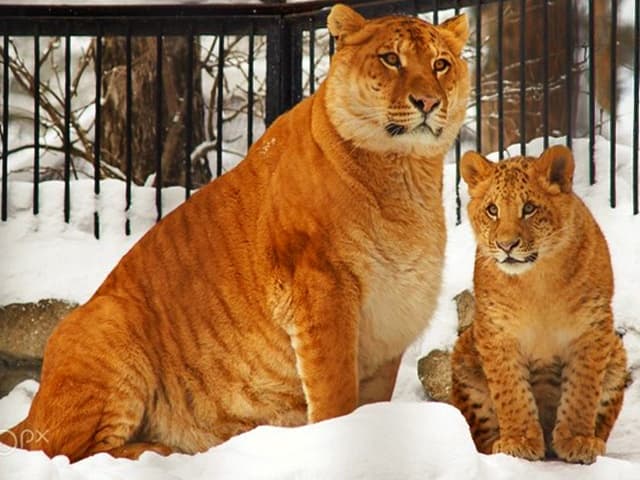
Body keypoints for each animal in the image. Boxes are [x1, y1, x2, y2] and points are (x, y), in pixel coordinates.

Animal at [0, 3, 470, 462]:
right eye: (391, 59)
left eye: (440, 64)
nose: (428, 101)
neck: (405, 173)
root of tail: (32, 408)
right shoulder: (320, 290)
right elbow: (335, 395)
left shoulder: (389, 319)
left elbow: (372, 403)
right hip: (106, 326)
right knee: (64, 451)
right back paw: (158, 452)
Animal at [452, 146, 628, 464]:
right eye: (492, 210)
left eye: (529, 208)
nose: (506, 245)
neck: (538, 280)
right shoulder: (496, 332)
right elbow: (511, 391)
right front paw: (518, 441)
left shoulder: (592, 328)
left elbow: (583, 391)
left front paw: (576, 440)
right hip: (463, 353)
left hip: (617, 353)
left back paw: (591, 441)